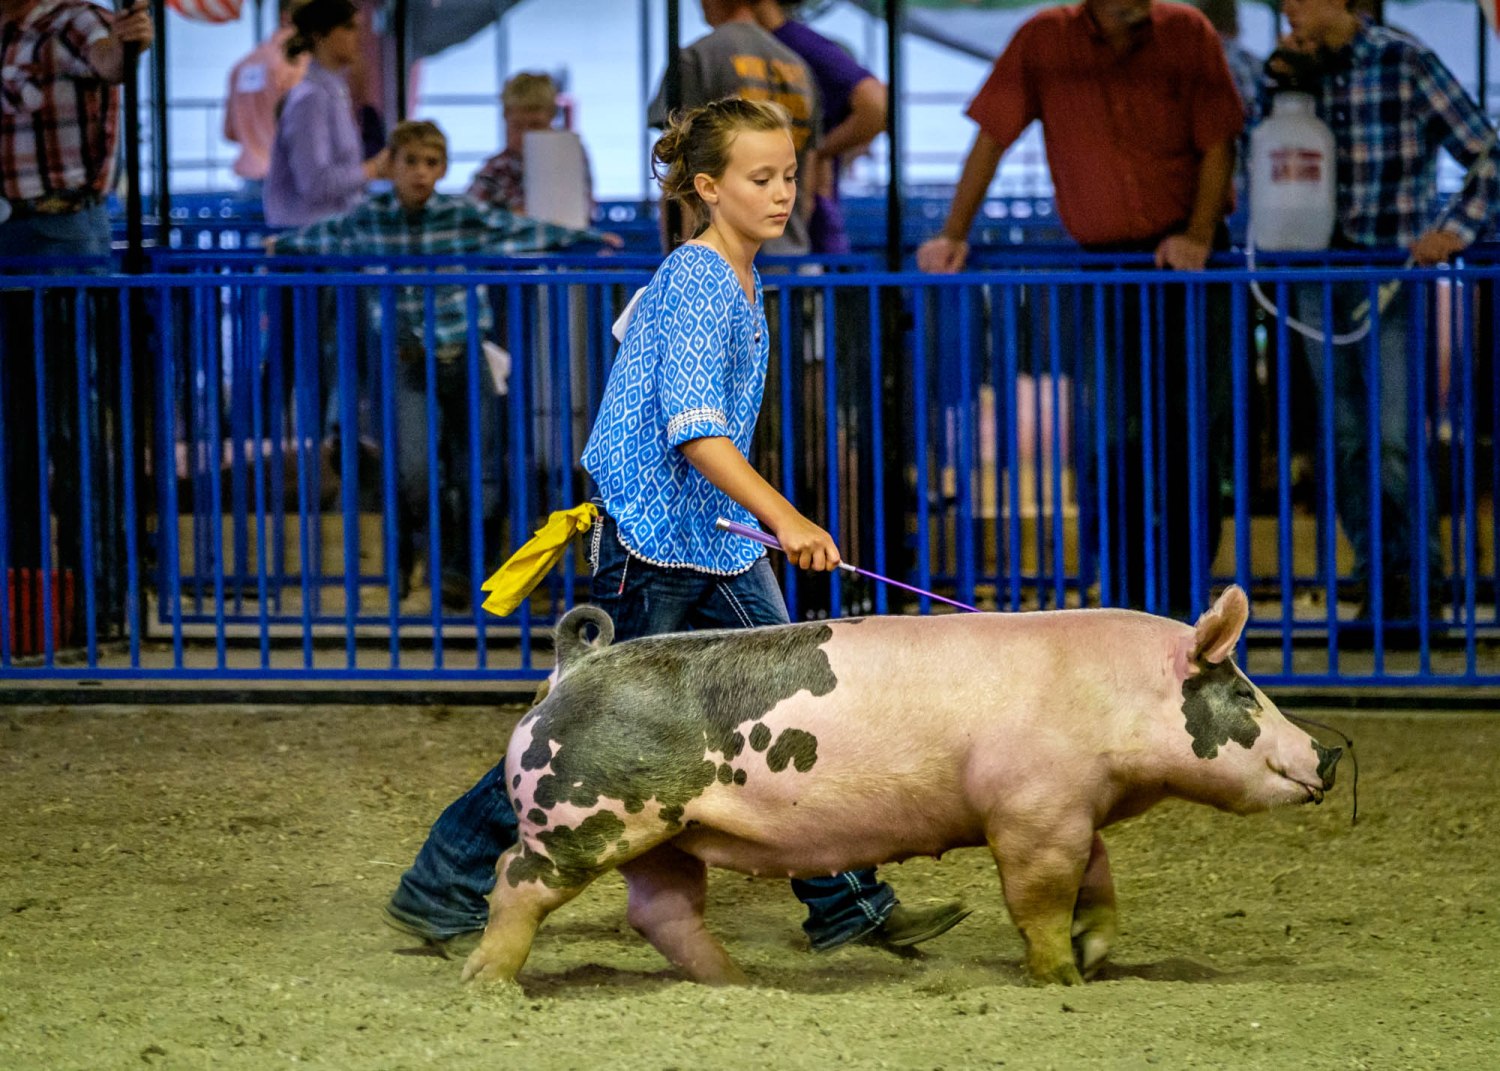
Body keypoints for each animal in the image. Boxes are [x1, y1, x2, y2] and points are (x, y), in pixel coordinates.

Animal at [462, 585, 1340, 987]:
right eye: (1247, 694)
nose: (1326, 755)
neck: (1112, 702)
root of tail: (574, 663)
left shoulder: (1070, 810)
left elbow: (1099, 880)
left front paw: (1093, 957)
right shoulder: (1031, 812)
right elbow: (1041, 897)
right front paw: (1060, 978)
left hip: (670, 830)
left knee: (662, 909)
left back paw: (743, 985)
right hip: (582, 817)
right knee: (517, 879)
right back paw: (486, 982)